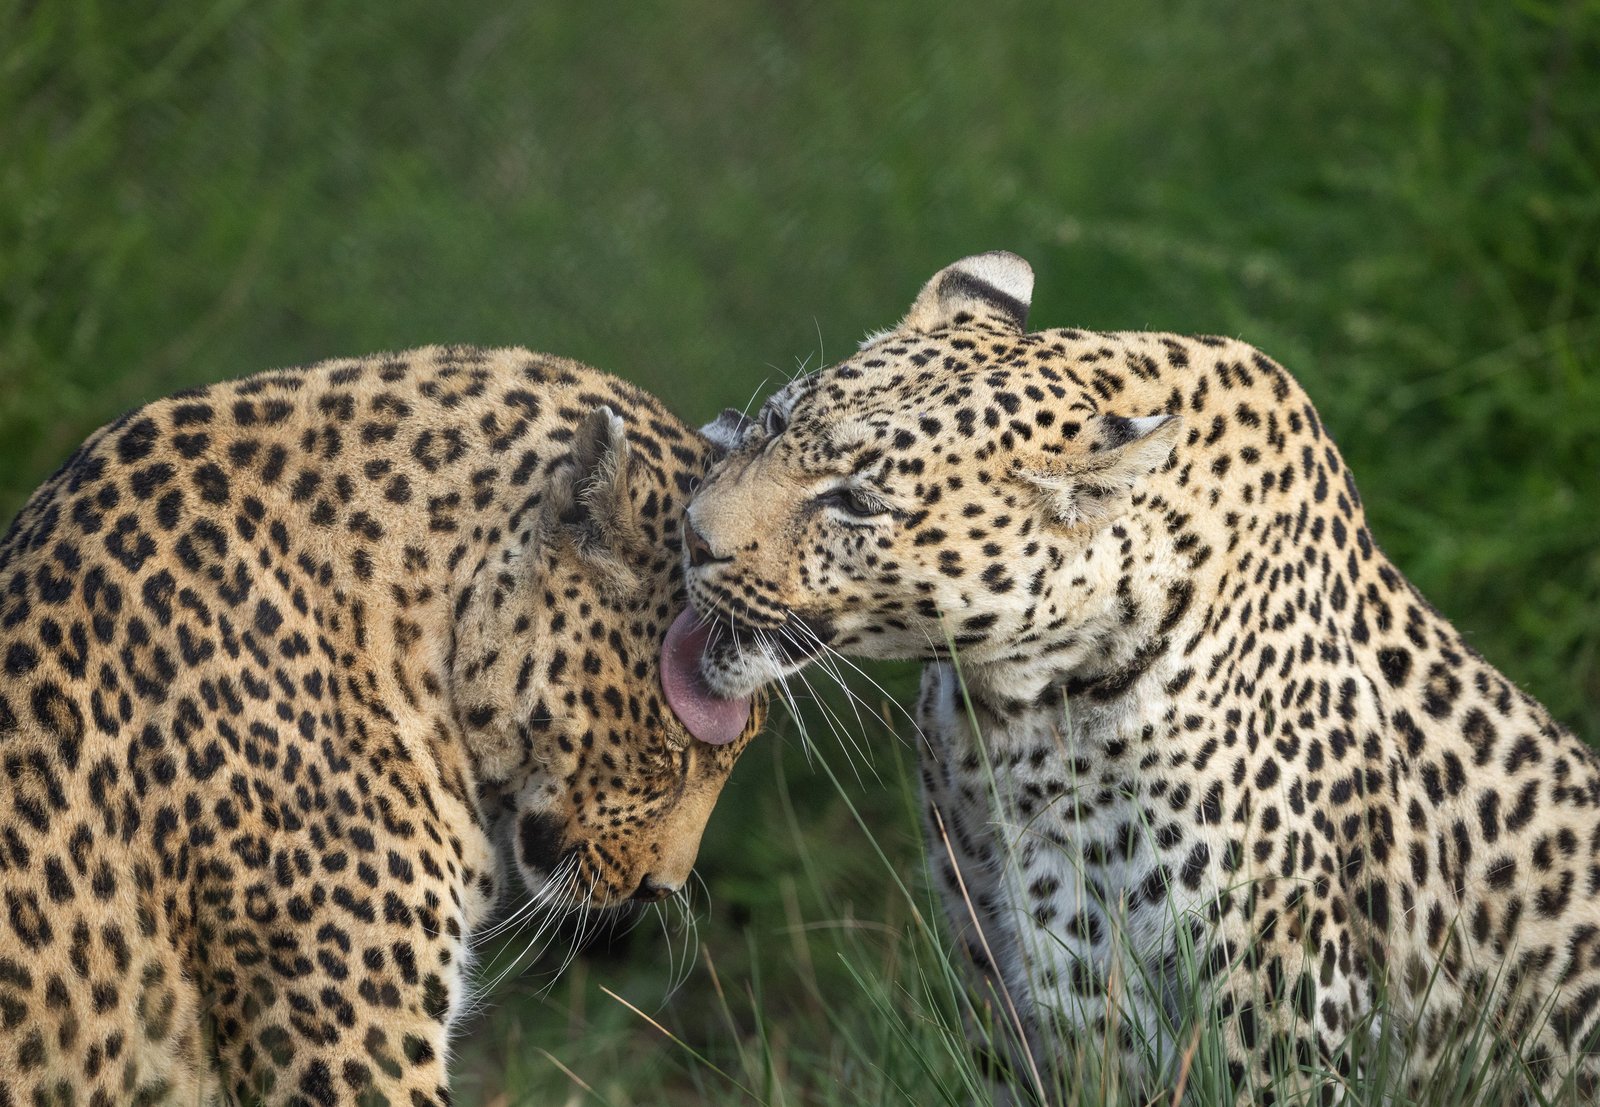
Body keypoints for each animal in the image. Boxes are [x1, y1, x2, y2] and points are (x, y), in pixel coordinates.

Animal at [679, 252, 1600, 1102]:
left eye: (858, 504)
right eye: (771, 423)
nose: (691, 534)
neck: (1011, 717)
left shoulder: (1273, 1025)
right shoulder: (1006, 980)